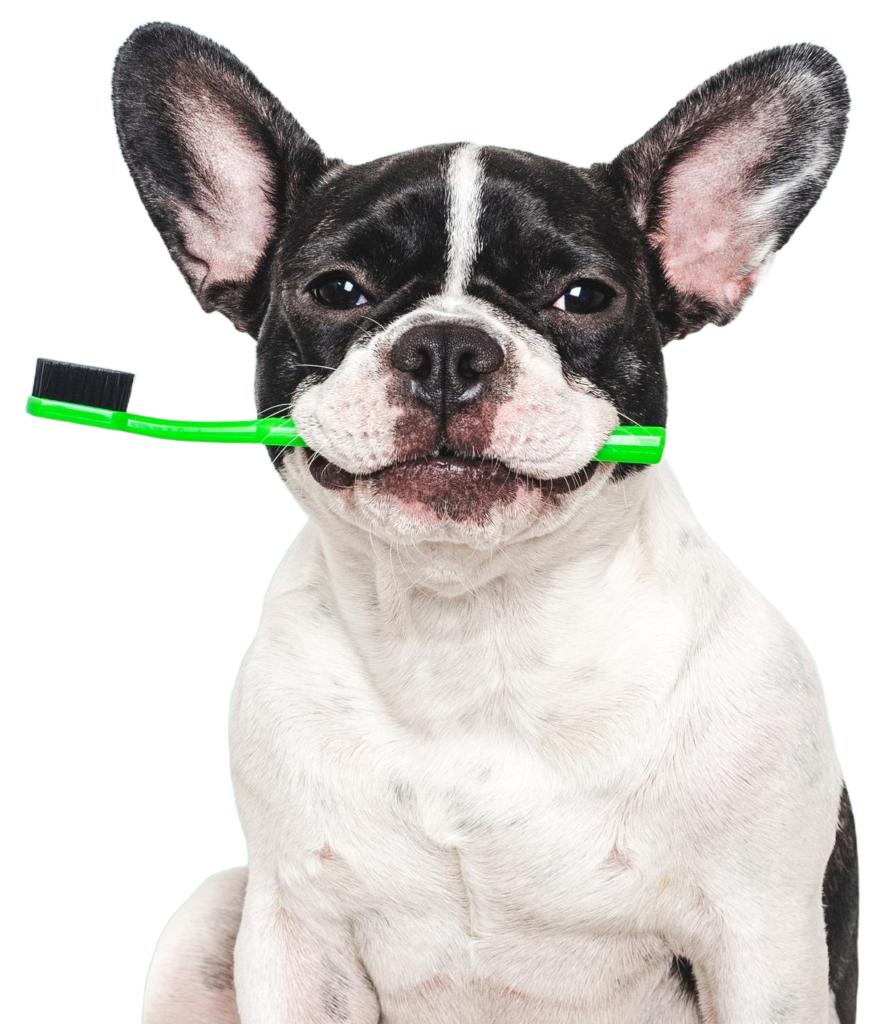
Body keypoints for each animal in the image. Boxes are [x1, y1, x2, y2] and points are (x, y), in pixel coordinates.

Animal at [114, 21, 858, 1023]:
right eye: (337, 290)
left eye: (582, 296)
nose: (446, 348)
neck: (472, 627)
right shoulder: (297, 933)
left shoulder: (761, 941)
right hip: (211, 908)